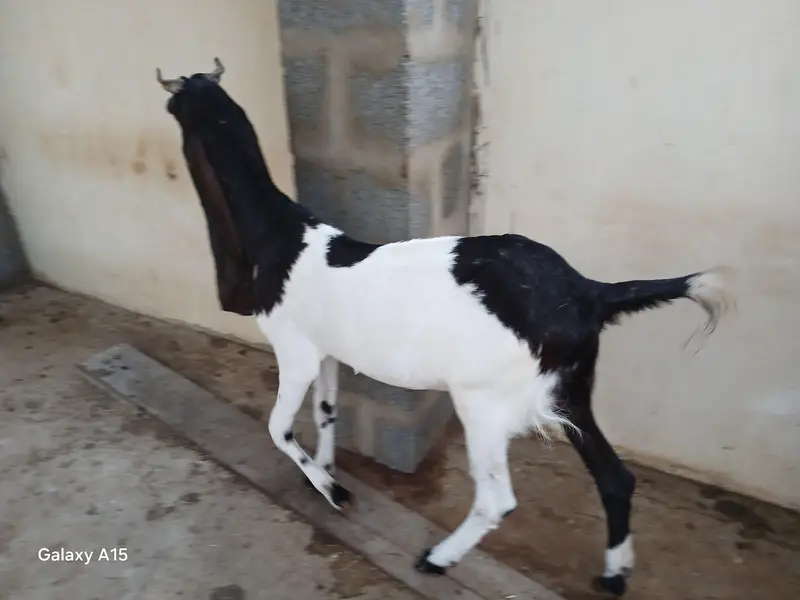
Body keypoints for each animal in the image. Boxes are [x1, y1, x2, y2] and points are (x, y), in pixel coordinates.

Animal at [156, 58, 733, 597]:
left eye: (175, 107)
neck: (283, 239)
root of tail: (587, 292)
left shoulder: (295, 352)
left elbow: (279, 427)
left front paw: (334, 491)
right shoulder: (327, 352)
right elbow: (326, 412)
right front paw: (322, 475)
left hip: (483, 400)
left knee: (498, 499)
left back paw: (439, 557)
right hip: (570, 388)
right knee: (615, 478)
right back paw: (613, 574)